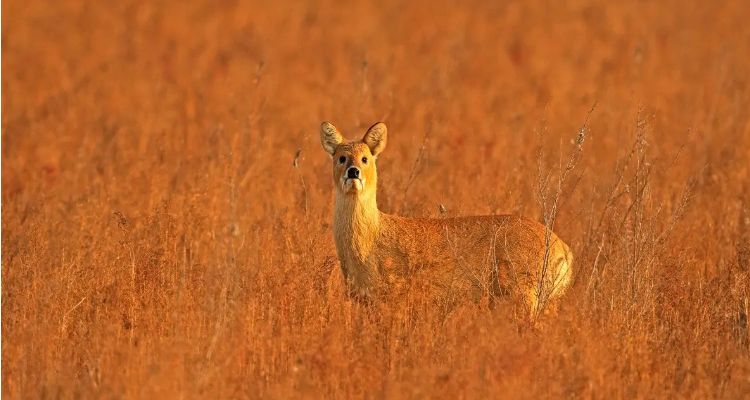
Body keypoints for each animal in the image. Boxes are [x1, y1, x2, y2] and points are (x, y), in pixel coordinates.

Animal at [320, 120, 572, 318]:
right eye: (341, 157)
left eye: (365, 158)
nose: (353, 172)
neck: (368, 242)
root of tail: (564, 250)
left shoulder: (393, 297)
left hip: (522, 294)